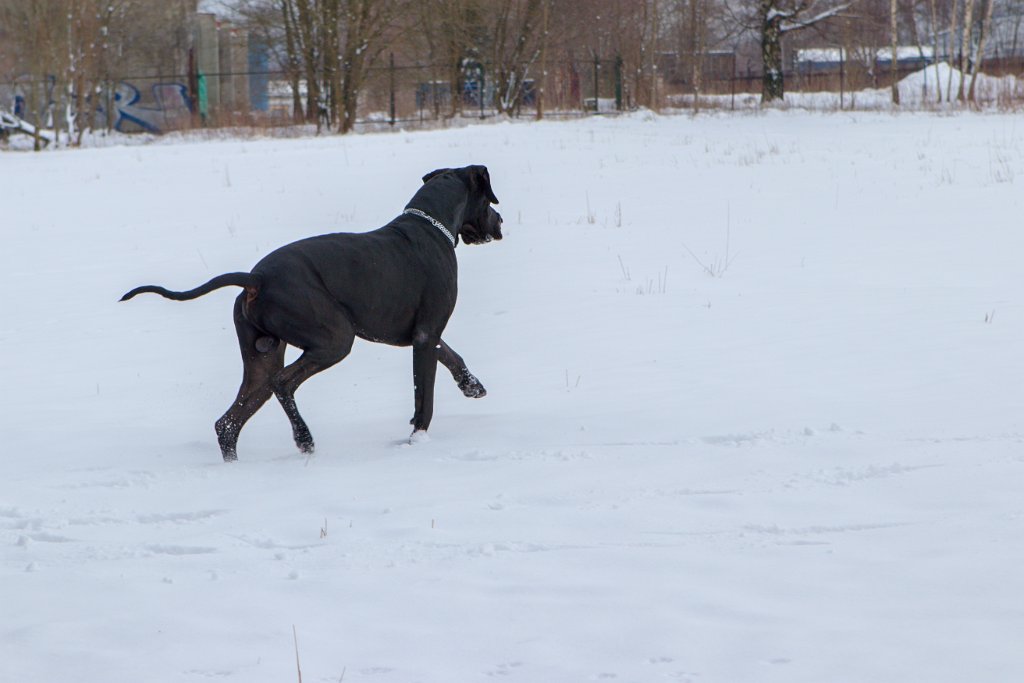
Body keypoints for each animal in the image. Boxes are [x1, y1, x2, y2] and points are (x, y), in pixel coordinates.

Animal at [123, 164, 499, 462]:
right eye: (489, 202)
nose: (501, 220)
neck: (431, 224)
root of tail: (257, 278)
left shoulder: (423, 335)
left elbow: (450, 354)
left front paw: (472, 385)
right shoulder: (424, 335)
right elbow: (425, 396)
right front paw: (418, 440)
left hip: (261, 361)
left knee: (229, 422)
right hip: (334, 338)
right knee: (283, 383)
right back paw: (304, 439)